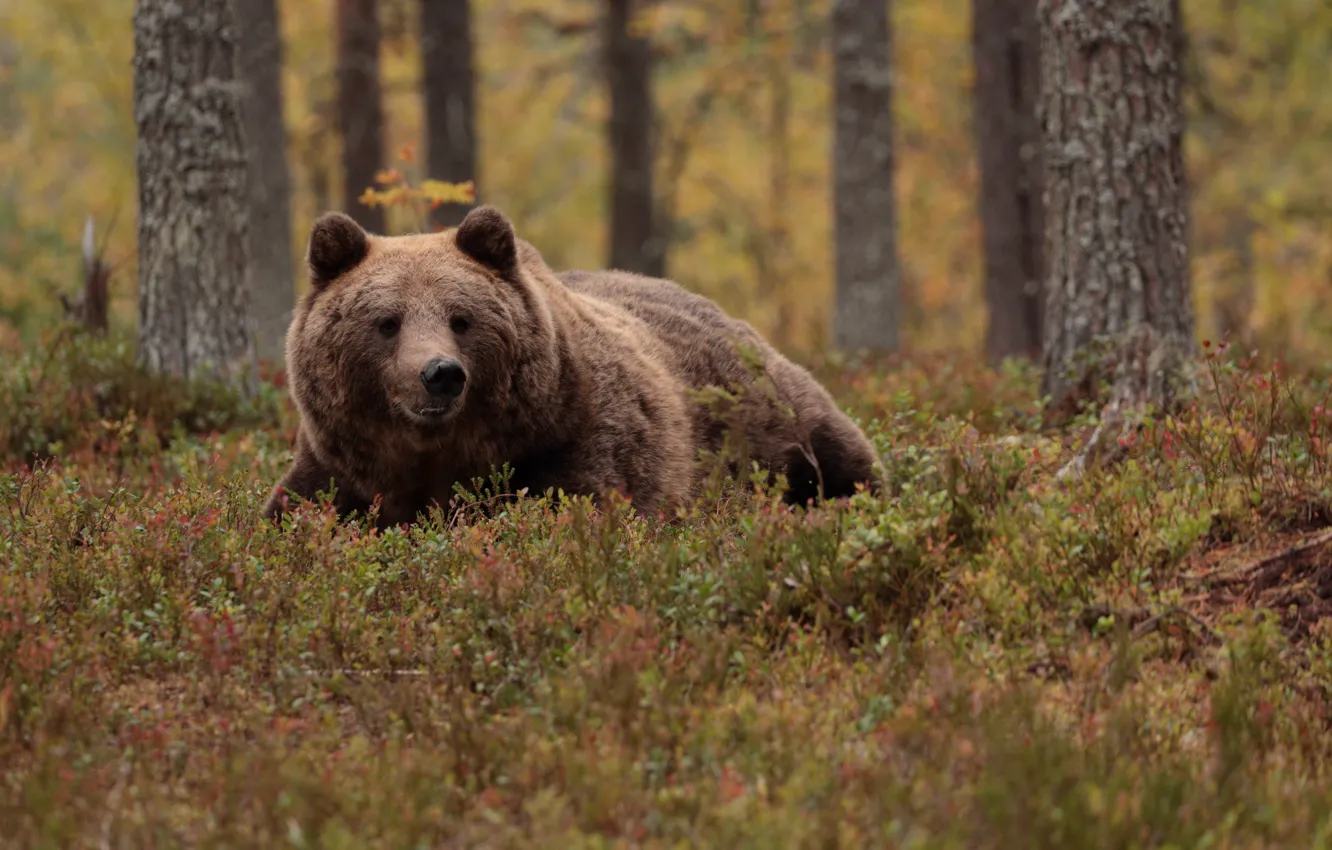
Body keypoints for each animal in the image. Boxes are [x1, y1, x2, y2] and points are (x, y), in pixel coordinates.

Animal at [263, 204, 879, 527]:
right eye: (387, 322)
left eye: (461, 319)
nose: (440, 373)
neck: (437, 456)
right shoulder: (339, 465)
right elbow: (291, 515)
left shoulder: (572, 441)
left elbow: (575, 508)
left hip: (773, 411)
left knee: (842, 458)